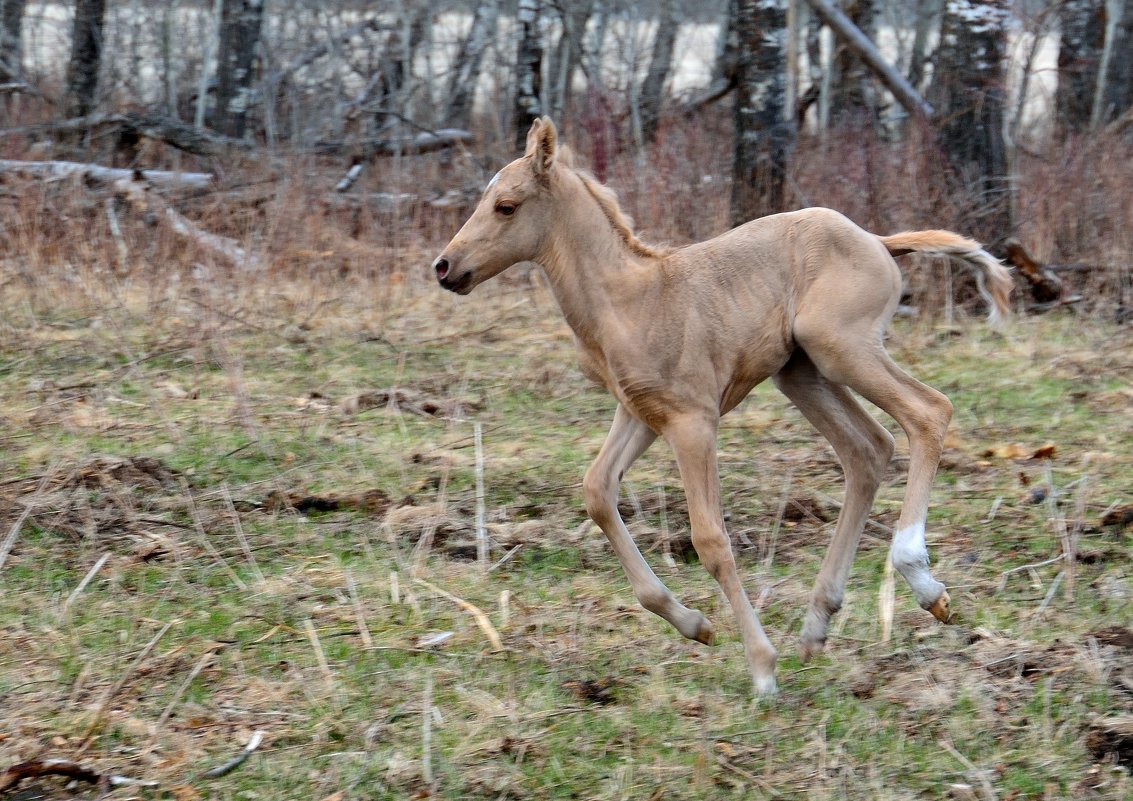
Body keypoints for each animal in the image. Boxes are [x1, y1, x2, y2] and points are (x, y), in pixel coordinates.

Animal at [430, 117, 1010, 693]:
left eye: (506, 205)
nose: (444, 266)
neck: (630, 300)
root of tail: (879, 241)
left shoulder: (693, 421)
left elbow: (709, 538)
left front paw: (762, 668)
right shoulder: (641, 413)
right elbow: (596, 491)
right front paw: (695, 625)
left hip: (840, 346)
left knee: (928, 411)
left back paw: (921, 581)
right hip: (801, 371)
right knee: (868, 449)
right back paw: (817, 624)